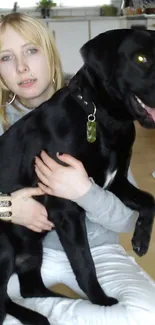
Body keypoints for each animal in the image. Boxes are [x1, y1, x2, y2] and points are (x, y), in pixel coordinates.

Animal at [0, 28, 155, 324]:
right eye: (141, 58)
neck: (101, 118)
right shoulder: (66, 208)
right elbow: (85, 264)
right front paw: (102, 303)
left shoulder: (115, 184)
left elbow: (150, 200)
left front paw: (141, 239)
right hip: (5, 249)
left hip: (31, 250)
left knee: (29, 289)